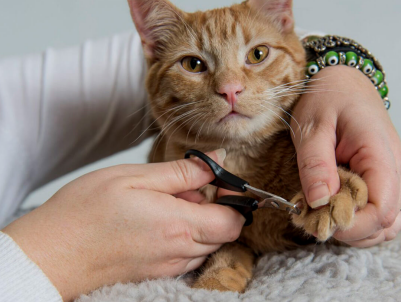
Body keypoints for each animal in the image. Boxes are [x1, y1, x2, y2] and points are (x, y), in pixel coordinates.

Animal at [126, 0, 368, 292]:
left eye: (257, 54)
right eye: (193, 64)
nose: (230, 89)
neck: (239, 162)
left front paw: (333, 194)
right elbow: (227, 254)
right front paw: (215, 282)